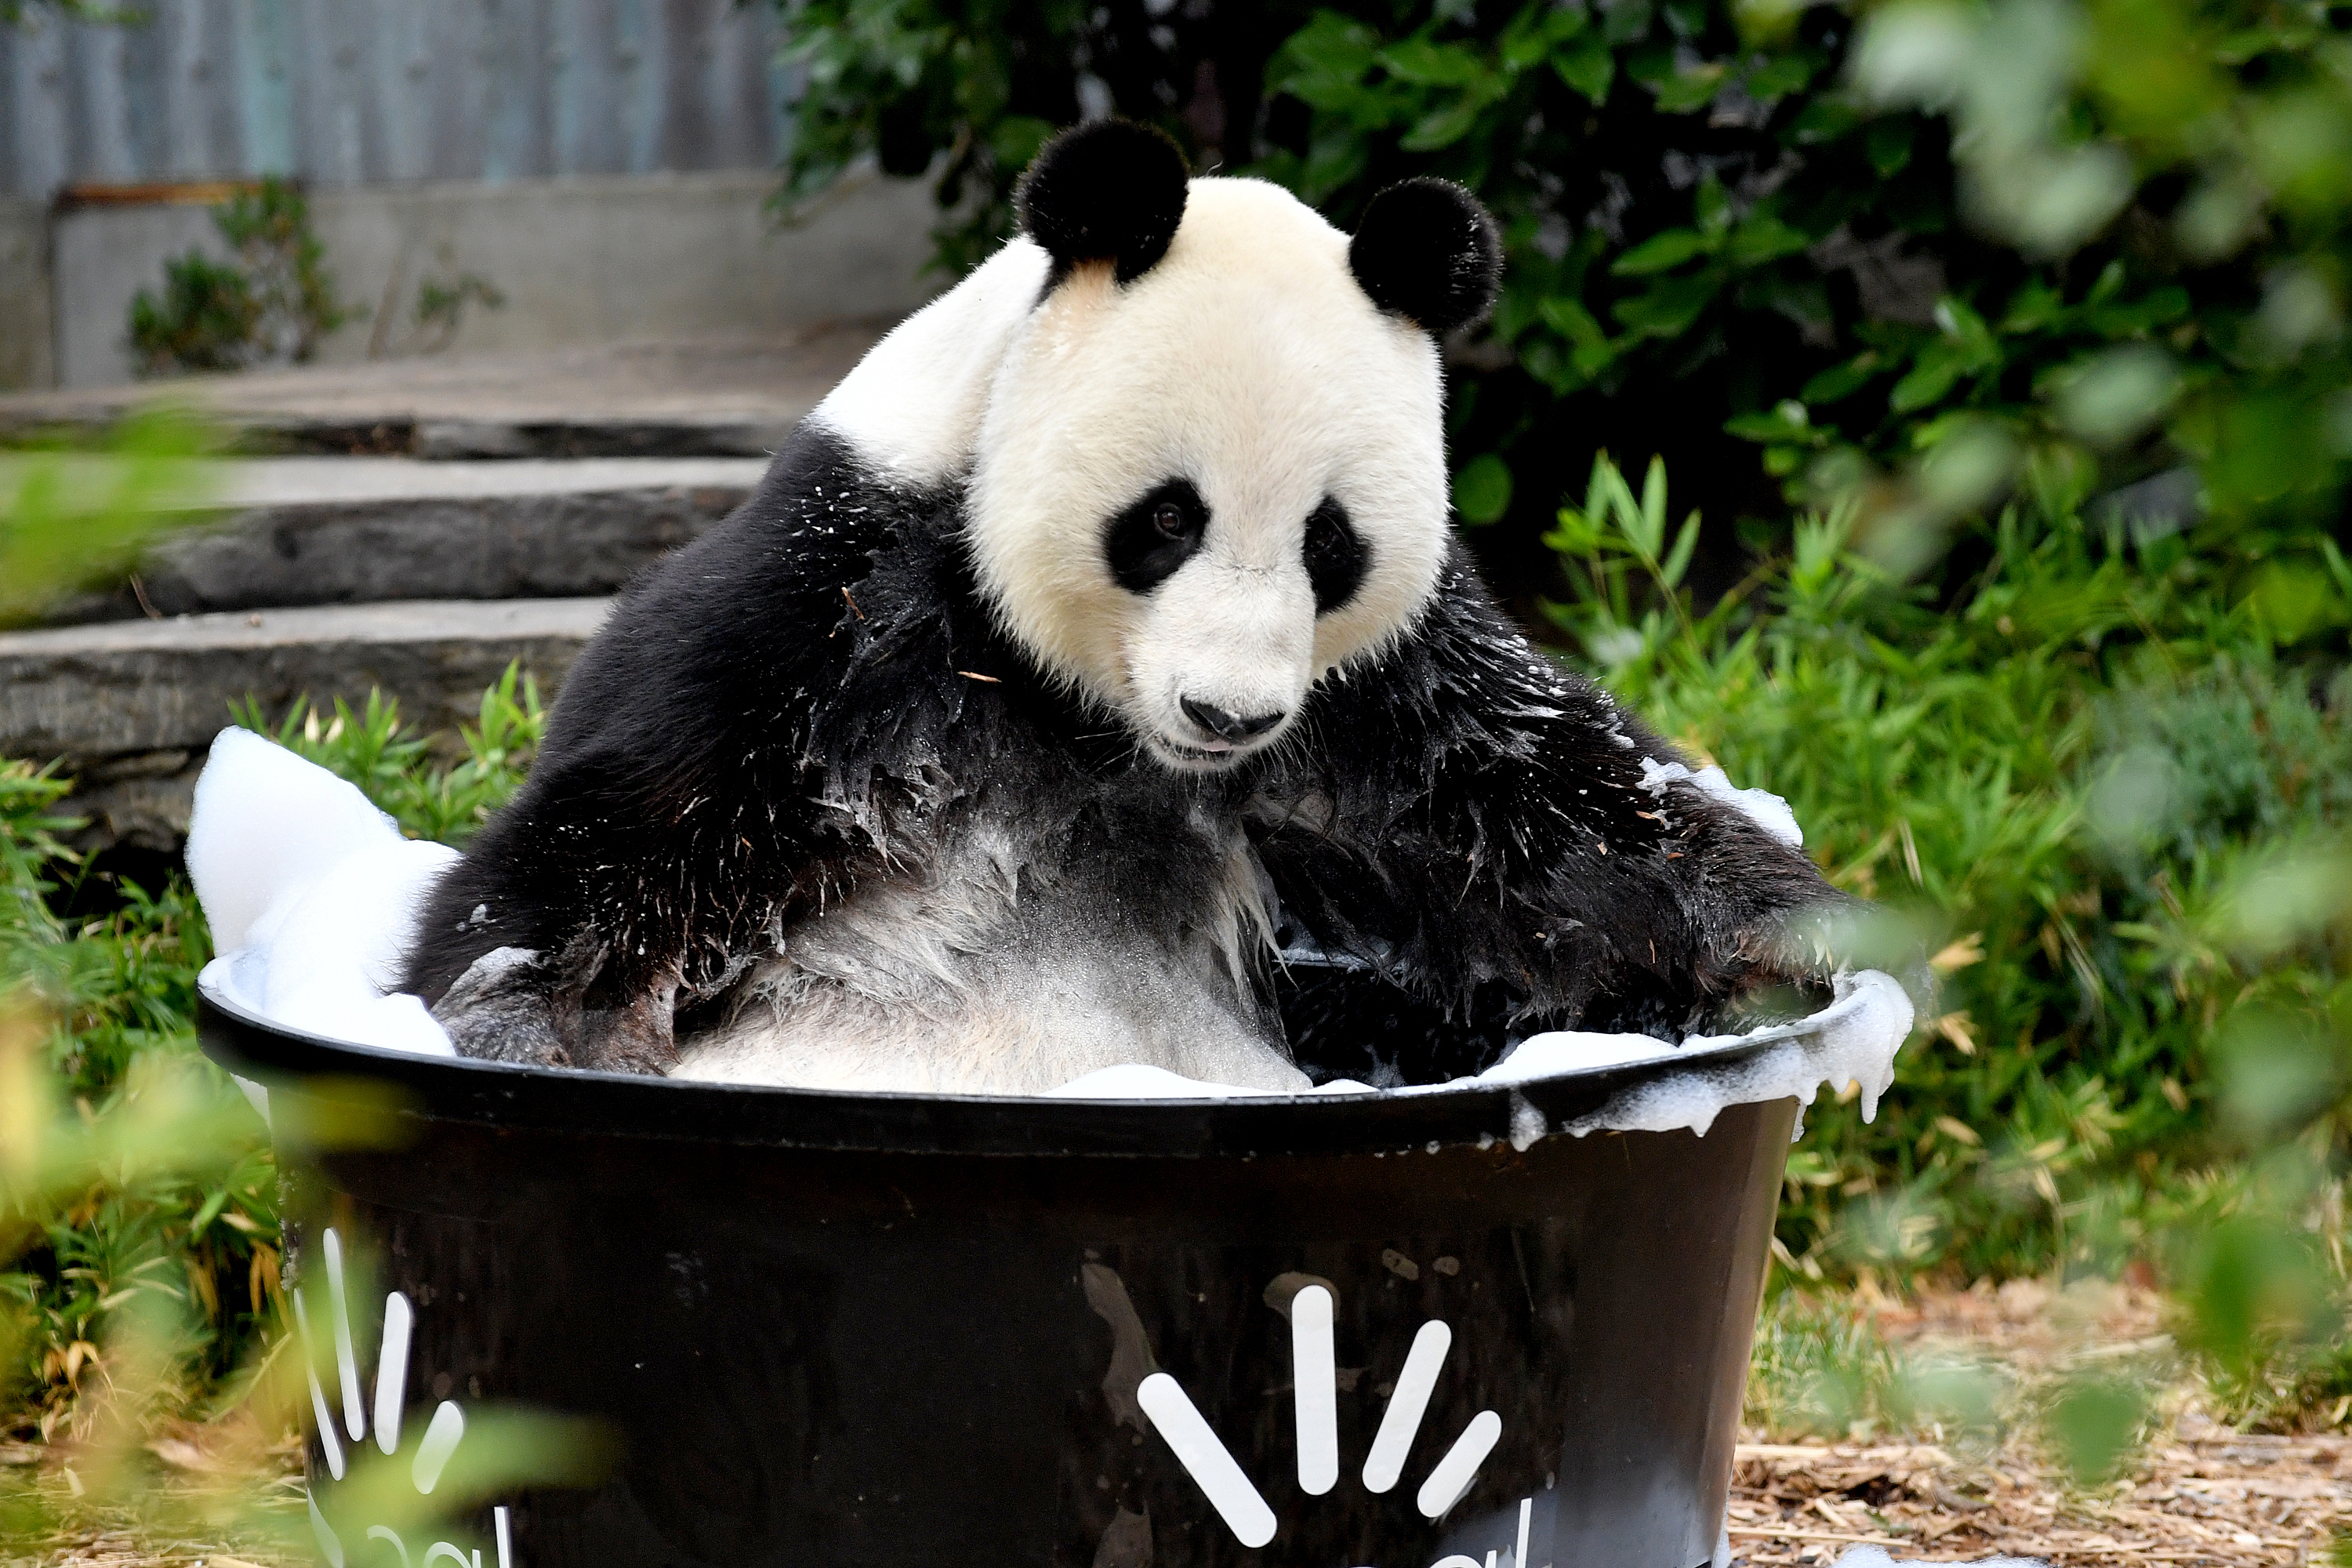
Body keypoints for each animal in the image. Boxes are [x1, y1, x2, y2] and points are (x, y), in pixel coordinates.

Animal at [405, 122, 1835, 1100]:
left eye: (1329, 543)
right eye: (1165, 521)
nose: (1228, 712)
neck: (1085, 716)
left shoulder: (1376, 700)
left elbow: (1548, 807)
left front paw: (1798, 936)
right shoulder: (827, 630)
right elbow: (615, 843)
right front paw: (523, 1028)